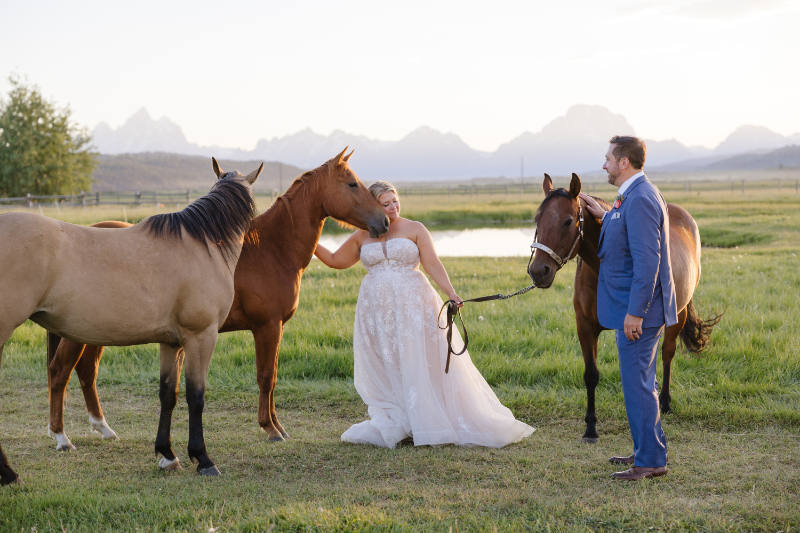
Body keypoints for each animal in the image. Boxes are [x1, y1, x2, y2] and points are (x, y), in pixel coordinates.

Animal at [0, 158, 261, 485]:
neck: (202, 246)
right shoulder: (201, 337)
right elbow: (196, 396)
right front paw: (202, 458)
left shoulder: (172, 343)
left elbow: (168, 395)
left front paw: (167, 455)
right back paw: (11, 472)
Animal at [45, 147, 389, 450]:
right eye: (352, 183)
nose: (383, 221)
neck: (271, 250)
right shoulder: (267, 327)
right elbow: (266, 377)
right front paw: (271, 429)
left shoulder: (272, 328)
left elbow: (273, 376)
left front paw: (276, 426)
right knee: (60, 371)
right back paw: (62, 438)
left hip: (93, 330)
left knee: (87, 371)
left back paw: (102, 428)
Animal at [527, 173, 721, 443]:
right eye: (537, 220)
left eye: (567, 221)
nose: (538, 272)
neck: (602, 271)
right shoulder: (584, 326)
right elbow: (591, 374)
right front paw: (590, 428)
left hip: (677, 316)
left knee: (667, 354)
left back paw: (665, 403)